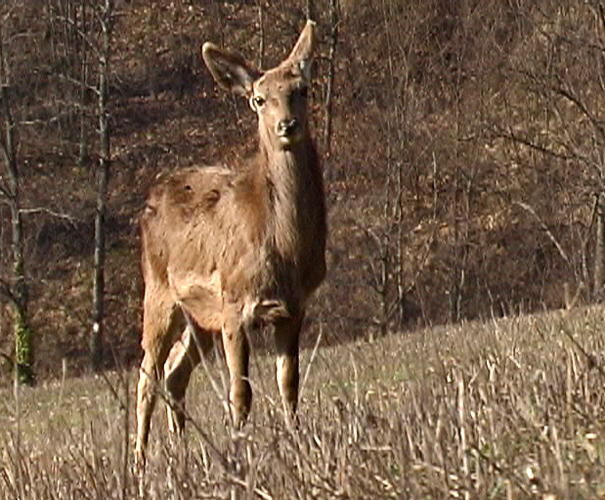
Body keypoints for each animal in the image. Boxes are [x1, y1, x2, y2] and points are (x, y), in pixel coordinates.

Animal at [135, 20, 328, 464]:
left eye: (303, 89)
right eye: (259, 99)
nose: (287, 125)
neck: (285, 247)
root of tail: (150, 199)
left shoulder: (293, 307)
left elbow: (289, 384)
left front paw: (295, 441)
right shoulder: (235, 304)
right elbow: (240, 392)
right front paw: (240, 449)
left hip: (199, 316)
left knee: (174, 374)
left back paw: (179, 453)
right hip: (159, 293)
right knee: (147, 375)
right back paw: (138, 461)